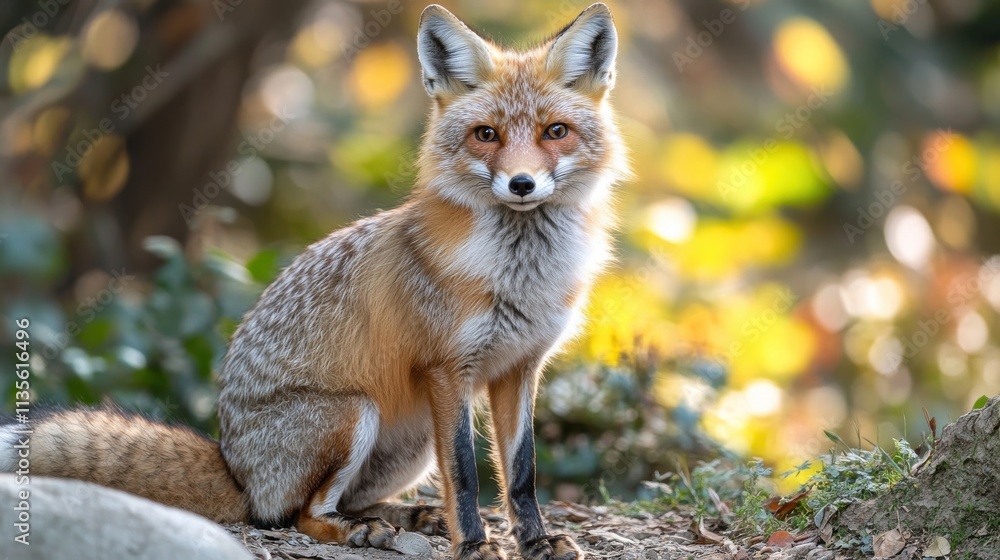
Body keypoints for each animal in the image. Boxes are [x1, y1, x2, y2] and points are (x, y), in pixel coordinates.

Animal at [1, 4, 628, 560]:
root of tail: (233, 463)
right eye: (486, 135)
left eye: (555, 131)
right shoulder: (447, 369)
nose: (521, 184)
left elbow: (521, 474)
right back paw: (363, 532)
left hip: (411, 443)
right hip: (353, 415)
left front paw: (536, 542)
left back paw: (403, 516)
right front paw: (474, 546)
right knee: (296, 515)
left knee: (346, 502)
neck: (520, 276)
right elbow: (469, 477)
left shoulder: (519, 368)